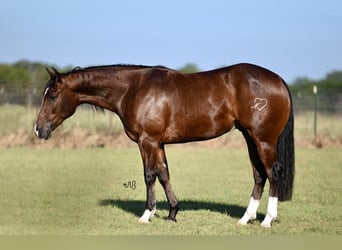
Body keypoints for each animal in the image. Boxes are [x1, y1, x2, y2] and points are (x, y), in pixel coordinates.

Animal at [35, 62, 296, 227]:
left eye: (53, 96)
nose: (38, 129)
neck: (132, 88)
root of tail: (278, 80)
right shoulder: (158, 143)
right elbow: (164, 174)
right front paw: (172, 214)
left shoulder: (147, 141)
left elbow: (149, 175)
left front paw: (146, 214)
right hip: (250, 138)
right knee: (259, 175)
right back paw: (245, 219)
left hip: (263, 140)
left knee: (273, 173)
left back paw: (267, 220)